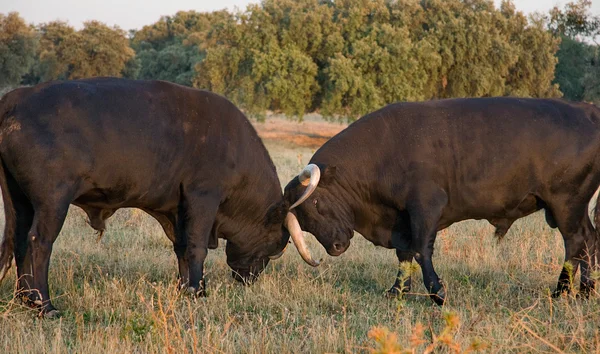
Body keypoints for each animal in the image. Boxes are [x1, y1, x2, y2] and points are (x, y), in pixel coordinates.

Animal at [0, 76, 318, 316]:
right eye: (276, 245)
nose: (248, 279)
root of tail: (17, 97)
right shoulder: (203, 198)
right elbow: (196, 247)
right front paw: (198, 292)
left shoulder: (176, 211)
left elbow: (182, 248)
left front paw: (188, 288)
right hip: (53, 201)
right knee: (39, 242)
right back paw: (45, 305)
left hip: (20, 202)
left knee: (18, 241)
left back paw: (24, 298)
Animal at [284, 97, 600, 304]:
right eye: (304, 222)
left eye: (316, 203)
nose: (335, 247)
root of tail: (587, 110)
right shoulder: (402, 219)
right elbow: (404, 254)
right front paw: (397, 291)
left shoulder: (426, 207)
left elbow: (421, 249)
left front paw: (437, 292)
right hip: (573, 206)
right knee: (589, 239)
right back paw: (586, 291)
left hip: (565, 203)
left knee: (575, 242)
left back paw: (561, 291)